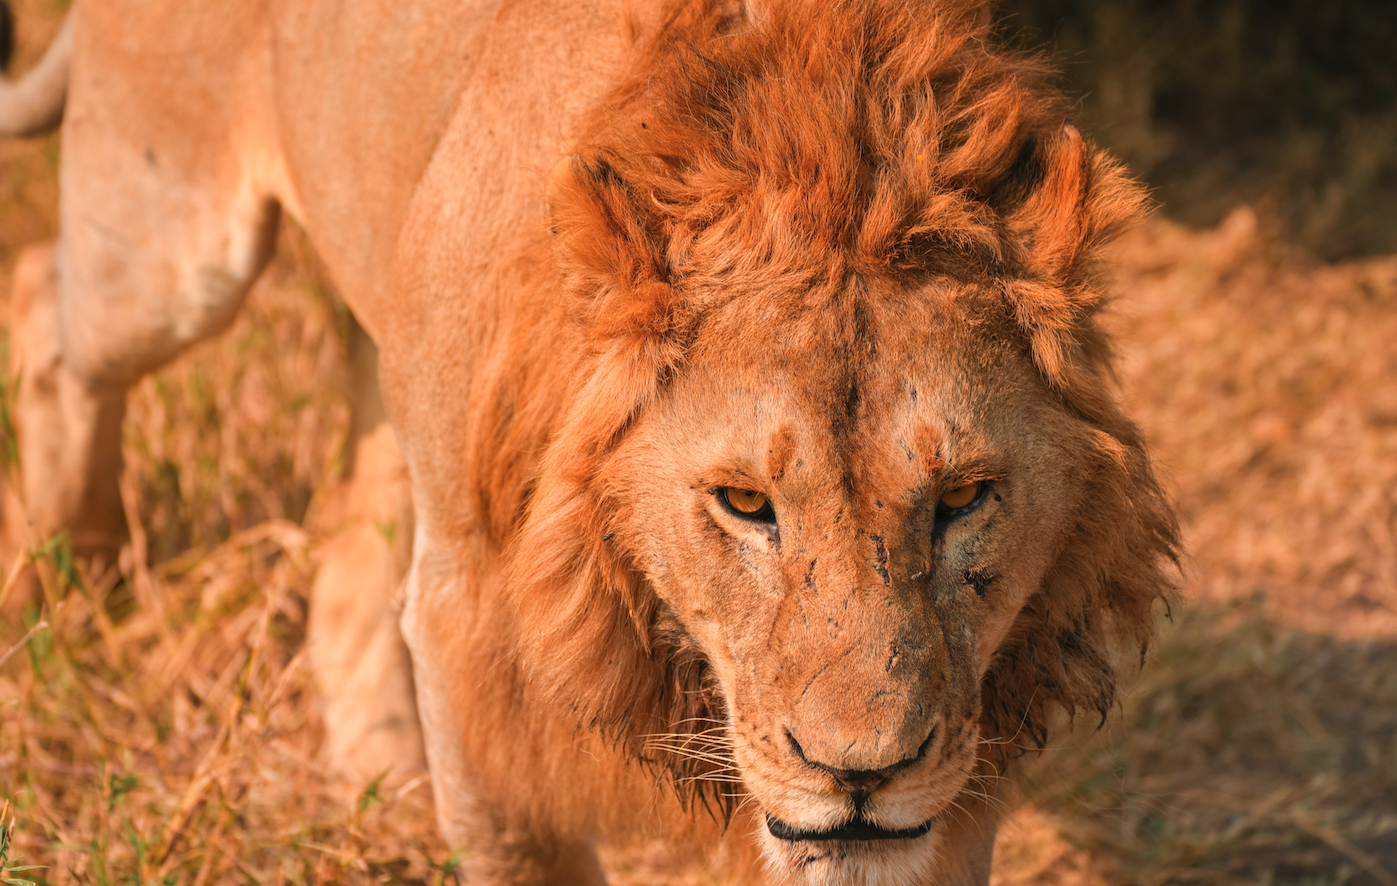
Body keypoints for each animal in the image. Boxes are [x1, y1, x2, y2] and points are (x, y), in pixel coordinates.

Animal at [0, 0, 1178, 882]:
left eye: (963, 496)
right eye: (743, 504)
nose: (860, 774)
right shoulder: (469, 643)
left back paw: (372, 756)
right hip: (165, 239)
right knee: (46, 317)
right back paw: (65, 592)